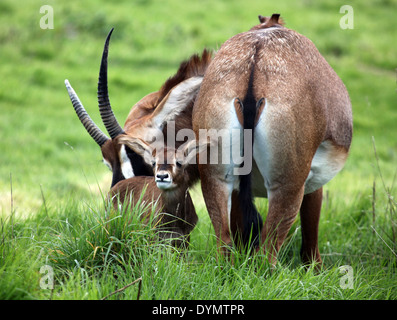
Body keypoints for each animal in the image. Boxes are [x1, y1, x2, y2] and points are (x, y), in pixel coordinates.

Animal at [193, 13, 352, 266]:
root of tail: (256, 56)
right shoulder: (313, 184)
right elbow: (311, 232)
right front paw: (314, 268)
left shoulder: (237, 189)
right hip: (287, 187)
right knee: (266, 253)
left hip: (215, 178)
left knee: (225, 245)